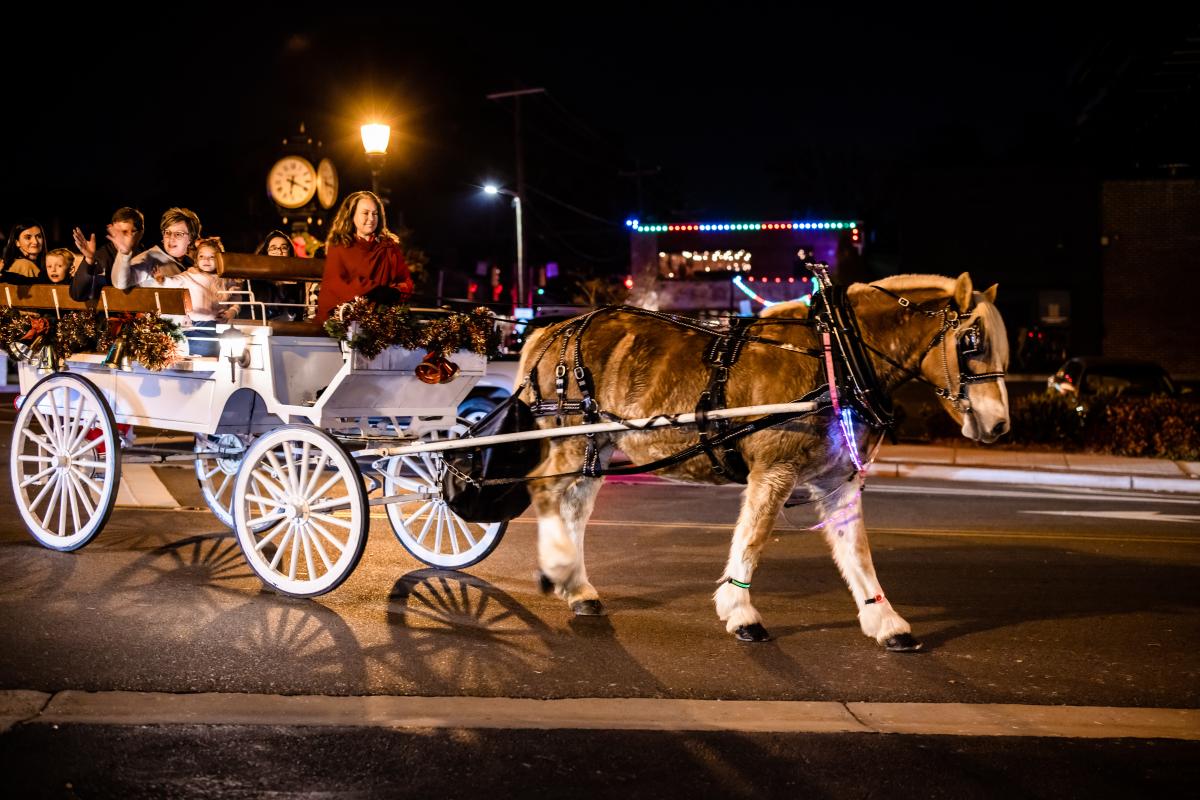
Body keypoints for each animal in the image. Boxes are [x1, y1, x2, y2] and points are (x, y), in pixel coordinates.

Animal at [518, 273, 1012, 652]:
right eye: (972, 342)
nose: (1000, 424)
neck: (836, 357)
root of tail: (551, 331)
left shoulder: (838, 481)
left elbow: (856, 551)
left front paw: (886, 621)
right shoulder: (774, 470)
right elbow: (752, 537)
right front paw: (741, 613)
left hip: (594, 446)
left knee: (575, 509)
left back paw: (578, 587)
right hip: (569, 437)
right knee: (543, 489)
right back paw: (556, 568)